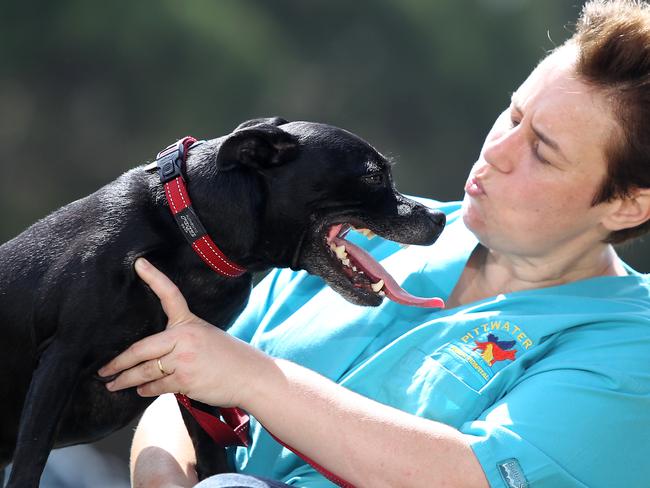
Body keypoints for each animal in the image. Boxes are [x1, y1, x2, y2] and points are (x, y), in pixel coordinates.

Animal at [0, 117, 446, 484]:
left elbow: (214, 458)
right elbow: (30, 462)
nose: (439, 218)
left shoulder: (198, 376)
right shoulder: (62, 359)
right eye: (373, 176)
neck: (190, 233)